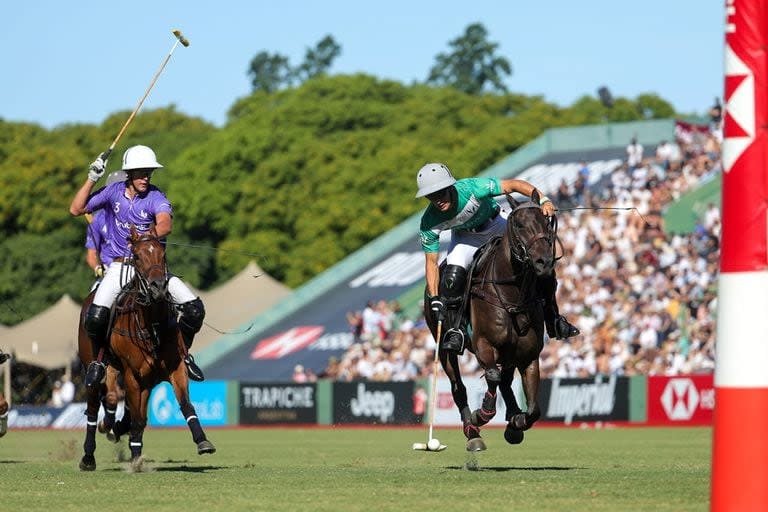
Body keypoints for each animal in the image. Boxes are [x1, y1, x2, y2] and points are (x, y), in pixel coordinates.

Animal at [77, 226, 214, 470]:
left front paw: (202, 440)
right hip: (91, 365)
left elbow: (185, 404)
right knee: (93, 407)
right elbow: (138, 418)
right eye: (137, 257)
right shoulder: (133, 375)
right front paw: (135, 458)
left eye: (163, 255)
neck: (153, 326)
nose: (158, 287)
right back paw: (88, 457)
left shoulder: (174, 369)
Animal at [426, 193, 560, 452]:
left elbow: (534, 409)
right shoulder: (484, 346)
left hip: (509, 353)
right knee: (459, 387)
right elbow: (492, 377)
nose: (544, 262)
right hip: (445, 349)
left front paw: (516, 423)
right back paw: (472, 432)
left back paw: (512, 418)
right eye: (519, 225)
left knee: (506, 381)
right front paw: (481, 415)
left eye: (547, 223)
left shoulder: (529, 356)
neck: (513, 295)